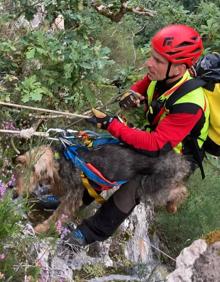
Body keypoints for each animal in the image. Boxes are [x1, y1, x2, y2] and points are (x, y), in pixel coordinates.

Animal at [15, 144, 191, 232]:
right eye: (22, 166)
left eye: (36, 170)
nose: (15, 192)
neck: (64, 160)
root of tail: (179, 159)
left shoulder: (72, 196)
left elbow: (59, 213)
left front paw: (42, 228)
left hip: (153, 186)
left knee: (181, 190)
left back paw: (173, 205)